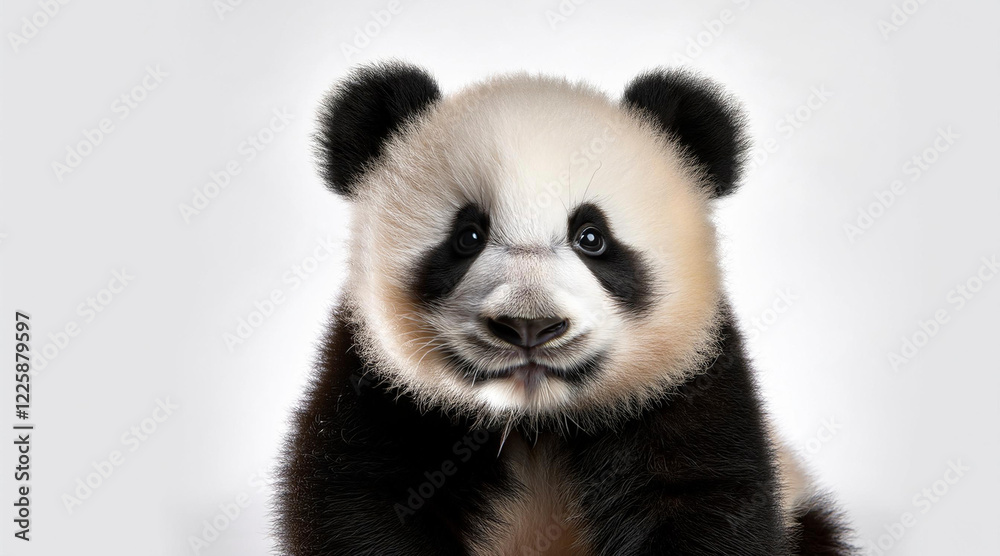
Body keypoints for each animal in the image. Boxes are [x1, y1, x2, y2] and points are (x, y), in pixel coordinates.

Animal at [276, 62, 851, 555]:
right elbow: (361, 502)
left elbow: (707, 499)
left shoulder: (690, 389)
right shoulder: (377, 393)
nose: (529, 325)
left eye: (591, 237)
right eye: (467, 237)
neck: (539, 424)